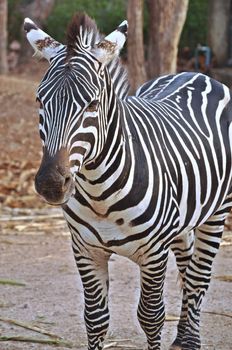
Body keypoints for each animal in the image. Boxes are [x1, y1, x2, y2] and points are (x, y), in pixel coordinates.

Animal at [24, 13, 232, 350]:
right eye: (40, 101)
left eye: (92, 105)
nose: (51, 183)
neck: (100, 193)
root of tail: (195, 73)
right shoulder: (85, 250)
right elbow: (95, 319)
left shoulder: (154, 253)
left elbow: (151, 316)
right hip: (183, 217)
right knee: (187, 266)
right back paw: (183, 335)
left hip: (217, 210)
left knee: (198, 277)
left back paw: (190, 339)